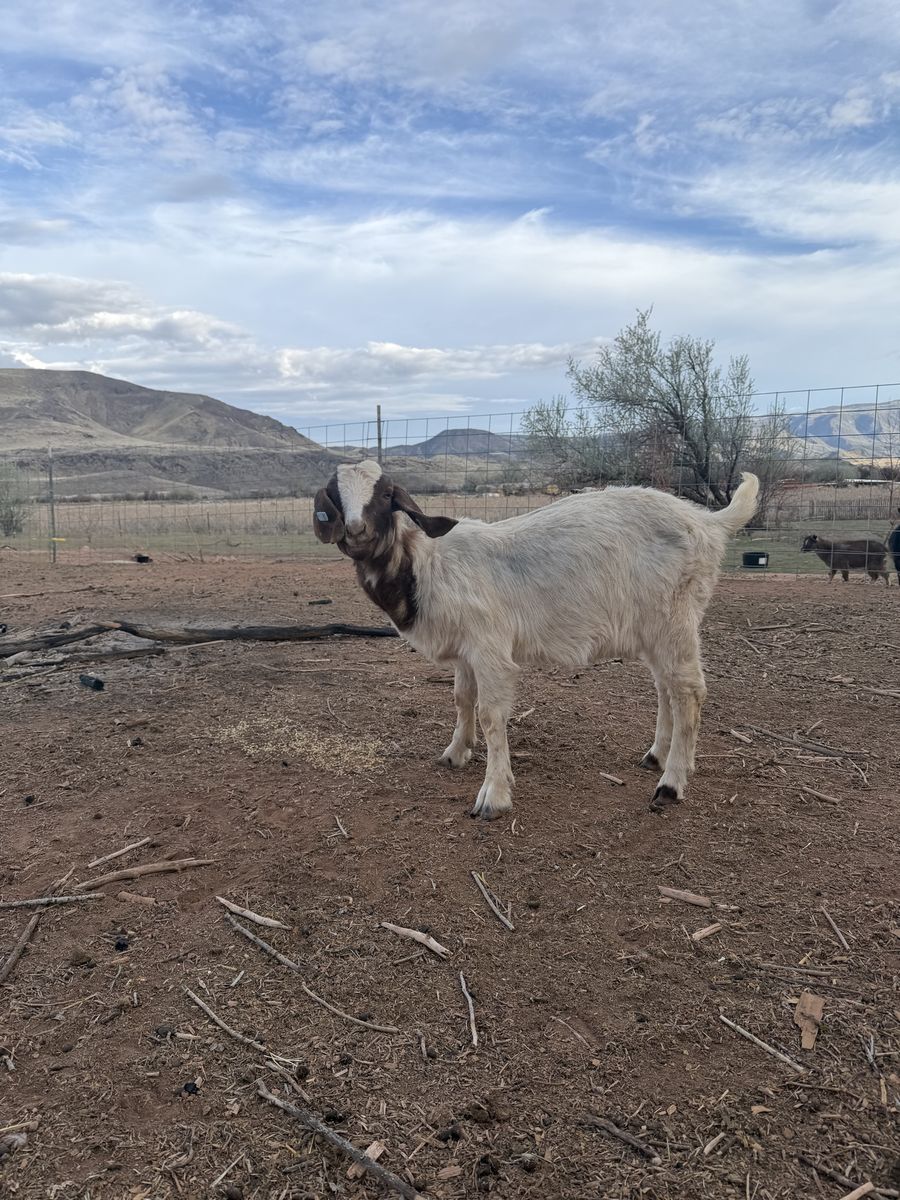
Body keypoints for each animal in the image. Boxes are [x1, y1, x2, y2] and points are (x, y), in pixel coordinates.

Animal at [313, 461, 759, 819]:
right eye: (335, 496)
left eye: (386, 495)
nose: (356, 530)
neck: (426, 565)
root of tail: (708, 523)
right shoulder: (466, 651)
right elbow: (462, 699)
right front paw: (456, 752)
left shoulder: (490, 648)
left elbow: (491, 715)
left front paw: (493, 795)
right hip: (653, 628)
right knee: (666, 687)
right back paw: (656, 757)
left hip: (675, 617)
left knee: (689, 691)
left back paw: (671, 782)